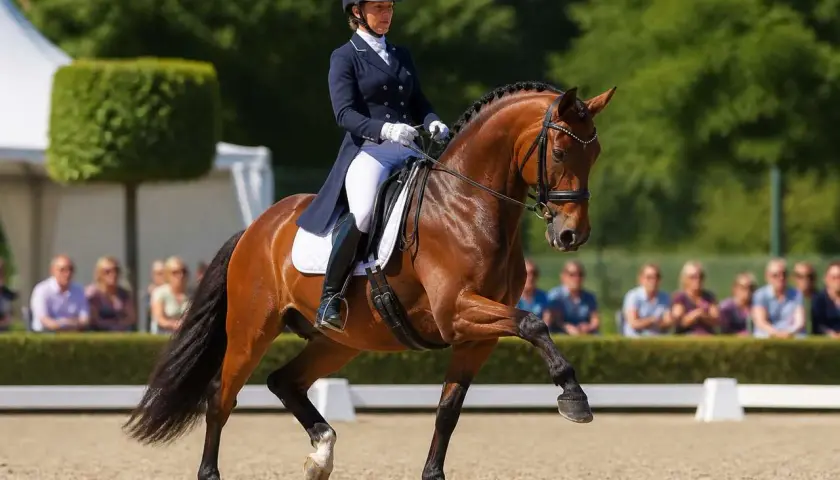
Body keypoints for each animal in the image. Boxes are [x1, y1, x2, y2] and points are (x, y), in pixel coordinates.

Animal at [123, 80, 615, 480]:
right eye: (559, 152)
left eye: (595, 154)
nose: (571, 235)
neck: (468, 206)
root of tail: (256, 227)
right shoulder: (456, 311)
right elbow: (535, 322)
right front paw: (574, 396)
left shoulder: (477, 336)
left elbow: (448, 411)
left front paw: (433, 474)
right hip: (251, 329)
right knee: (220, 397)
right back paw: (214, 471)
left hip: (340, 340)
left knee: (284, 381)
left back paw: (321, 454)